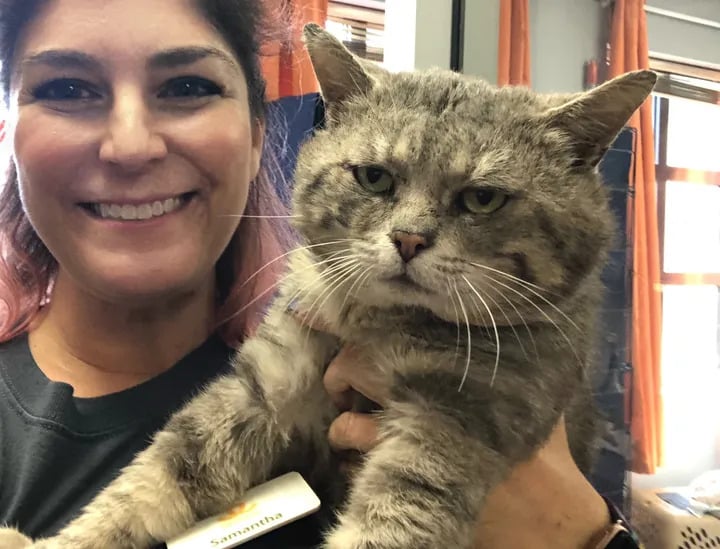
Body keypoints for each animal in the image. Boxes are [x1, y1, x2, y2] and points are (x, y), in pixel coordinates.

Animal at [0, 23, 656, 548]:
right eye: (375, 177)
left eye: (482, 198)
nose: (409, 240)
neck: (378, 324)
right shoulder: (267, 384)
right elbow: (154, 478)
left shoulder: (451, 423)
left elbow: (391, 523)